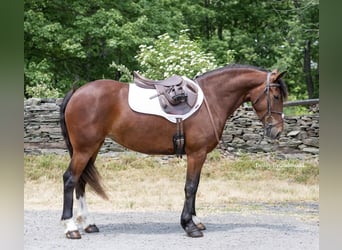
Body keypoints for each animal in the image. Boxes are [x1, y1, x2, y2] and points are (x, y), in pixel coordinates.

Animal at [60, 64, 288, 238]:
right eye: (276, 96)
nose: (277, 131)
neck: (211, 99)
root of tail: (77, 92)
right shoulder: (197, 154)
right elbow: (191, 187)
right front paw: (190, 226)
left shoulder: (199, 155)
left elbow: (195, 187)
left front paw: (195, 220)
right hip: (84, 149)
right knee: (70, 179)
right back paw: (71, 227)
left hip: (92, 148)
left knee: (81, 181)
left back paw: (88, 224)